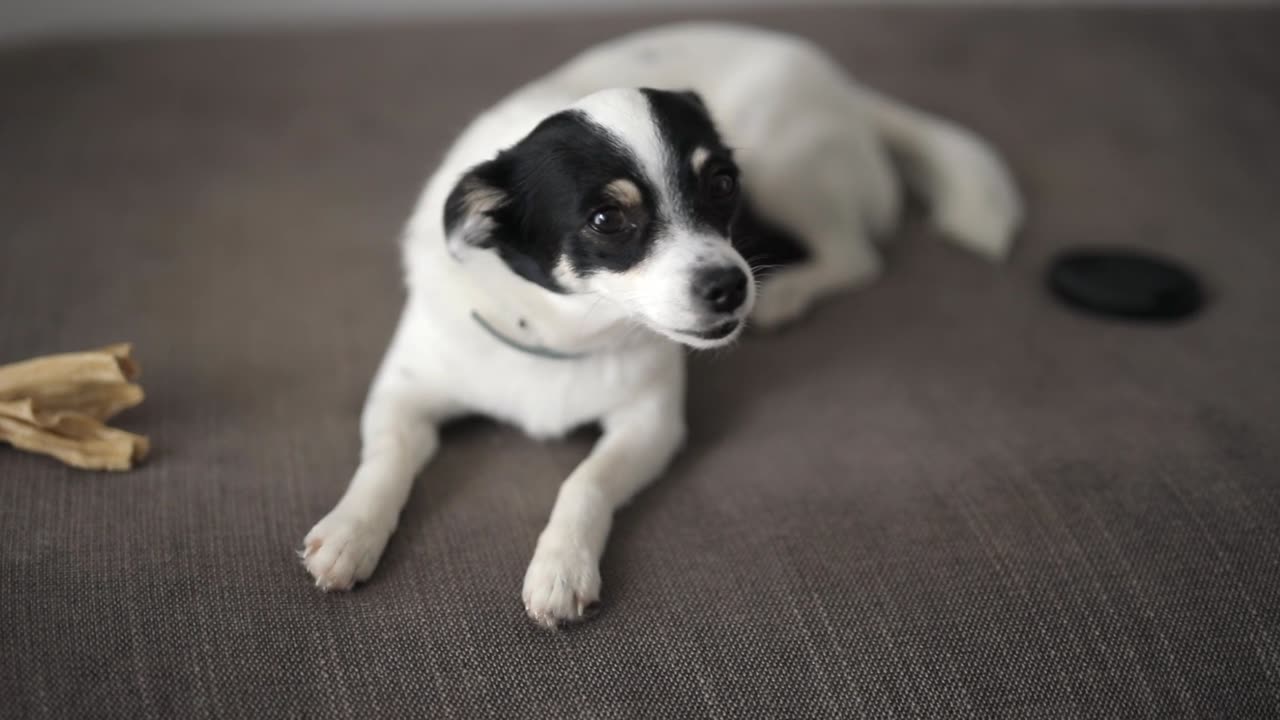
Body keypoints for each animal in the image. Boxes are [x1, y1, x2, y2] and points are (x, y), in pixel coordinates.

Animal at [299, 22, 1018, 625]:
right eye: (607, 219)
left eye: (723, 184)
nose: (732, 286)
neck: (558, 330)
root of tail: (844, 86)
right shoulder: (403, 394)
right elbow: (386, 458)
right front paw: (352, 531)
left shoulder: (650, 425)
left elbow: (584, 480)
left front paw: (561, 565)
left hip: (786, 160)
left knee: (855, 255)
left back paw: (787, 294)